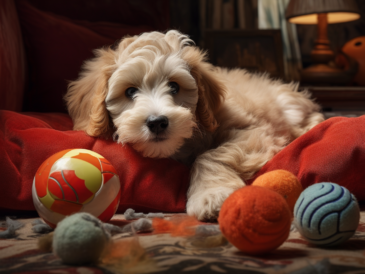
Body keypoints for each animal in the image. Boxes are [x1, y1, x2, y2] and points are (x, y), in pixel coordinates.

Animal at [64, 30, 322, 220]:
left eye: (174, 87)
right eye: (129, 92)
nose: (157, 122)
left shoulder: (253, 132)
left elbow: (209, 155)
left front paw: (212, 196)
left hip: (288, 105)